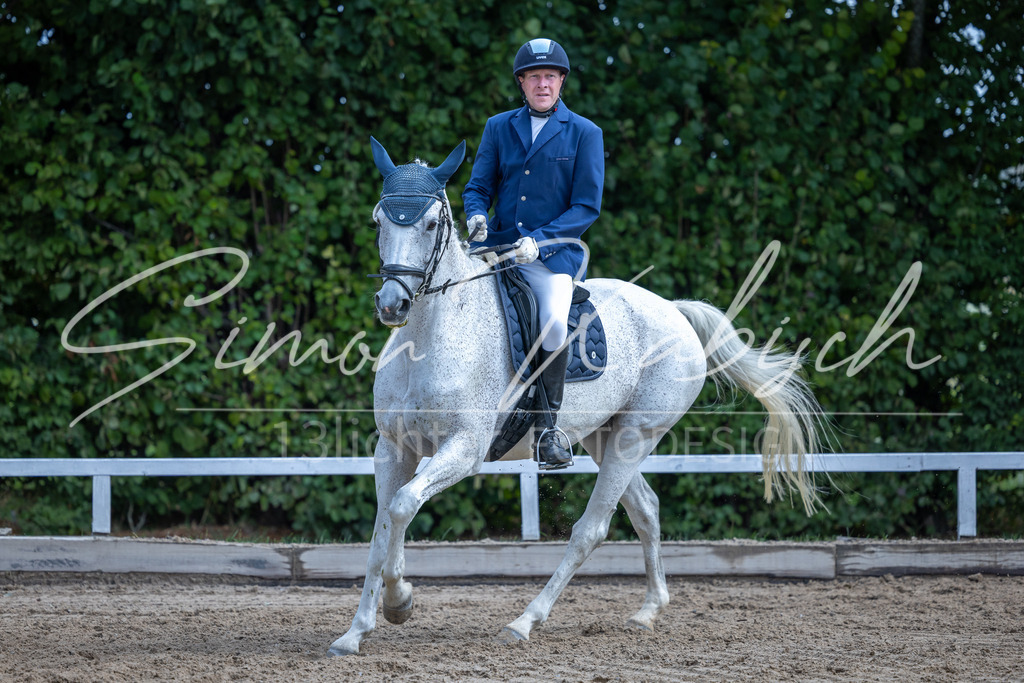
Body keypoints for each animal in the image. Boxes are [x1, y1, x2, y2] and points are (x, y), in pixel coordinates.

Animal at [327, 138, 827, 656]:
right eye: (378, 221)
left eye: (429, 224)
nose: (393, 304)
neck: (430, 337)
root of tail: (673, 310)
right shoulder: (392, 449)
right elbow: (383, 529)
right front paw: (356, 631)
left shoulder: (464, 449)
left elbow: (403, 506)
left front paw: (400, 601)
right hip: (603, 436)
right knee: (646, 509)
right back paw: (647, 612)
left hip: (635, 435)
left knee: (592, 528)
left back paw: (525, 621)